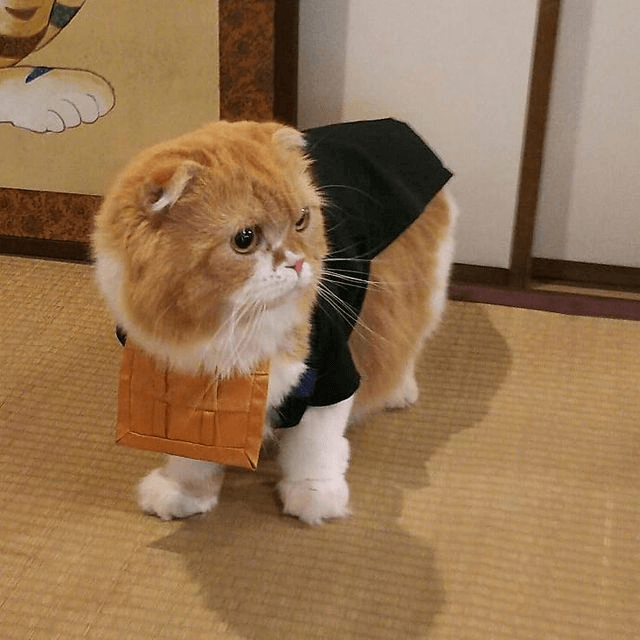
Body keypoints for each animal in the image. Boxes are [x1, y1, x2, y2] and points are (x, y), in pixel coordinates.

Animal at [92, 117, 458, 524]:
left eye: (301, 220)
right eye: (245, 239)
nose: (297, 264)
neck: (232, 332)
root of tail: (394, 126)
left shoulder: (330, 376)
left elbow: (316, 448)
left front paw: (313, 497)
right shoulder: (176, 382)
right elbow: (190, 459)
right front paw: (183, 494)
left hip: (419, 288)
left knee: (409, 342)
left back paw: (399, 392)